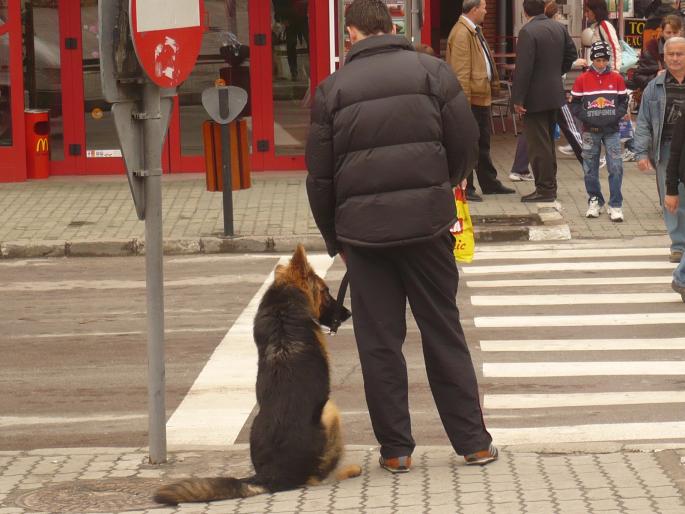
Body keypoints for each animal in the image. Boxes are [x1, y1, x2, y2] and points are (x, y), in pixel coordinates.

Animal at [154, 244, 358, 504]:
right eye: (325, 291)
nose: (348, 313)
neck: (282, 305)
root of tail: (270, 475)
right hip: (330, 410)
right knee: (318, 477)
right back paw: (349, 470)